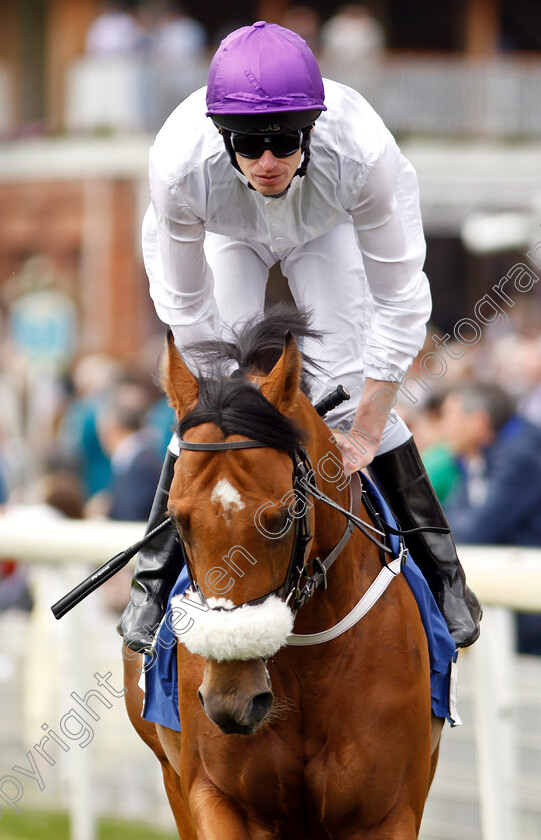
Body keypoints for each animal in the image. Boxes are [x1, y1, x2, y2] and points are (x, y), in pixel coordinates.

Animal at [123, 308, 442, 840]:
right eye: (177, 518)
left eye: (280, 518)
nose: (231, 700)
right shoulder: (214, 796)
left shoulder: (389, 811)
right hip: (171, 776)